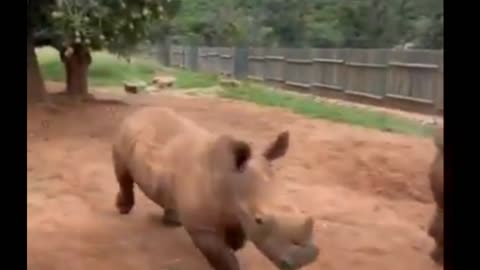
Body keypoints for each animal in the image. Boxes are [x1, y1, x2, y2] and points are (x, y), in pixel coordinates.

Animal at [113, 107, 318, 270]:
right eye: (259, 220)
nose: (306, 258)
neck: (229, 180)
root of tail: (138, 112)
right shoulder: (202, 228)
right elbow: (222, 256)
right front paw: (229, 258)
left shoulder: (236, 208)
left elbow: (238, 236)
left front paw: (234, 243)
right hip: (124, 132)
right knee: (123, 174)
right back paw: (123, 210)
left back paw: (172, 221)